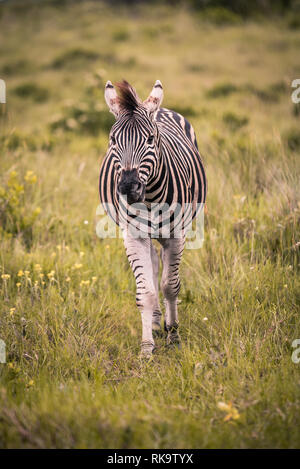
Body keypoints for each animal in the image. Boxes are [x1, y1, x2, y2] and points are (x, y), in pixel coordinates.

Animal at [98, 80, 206, 356]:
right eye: (112, 140)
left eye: (149, 139)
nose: (128, 187)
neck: (150, 197)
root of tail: (156, 106)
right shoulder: (133, 236)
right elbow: (145, 292)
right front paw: (147, 347)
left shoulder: (176, 235)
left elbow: (171, 286)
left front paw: (174, 335)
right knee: (155, 264)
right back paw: (156, 321)